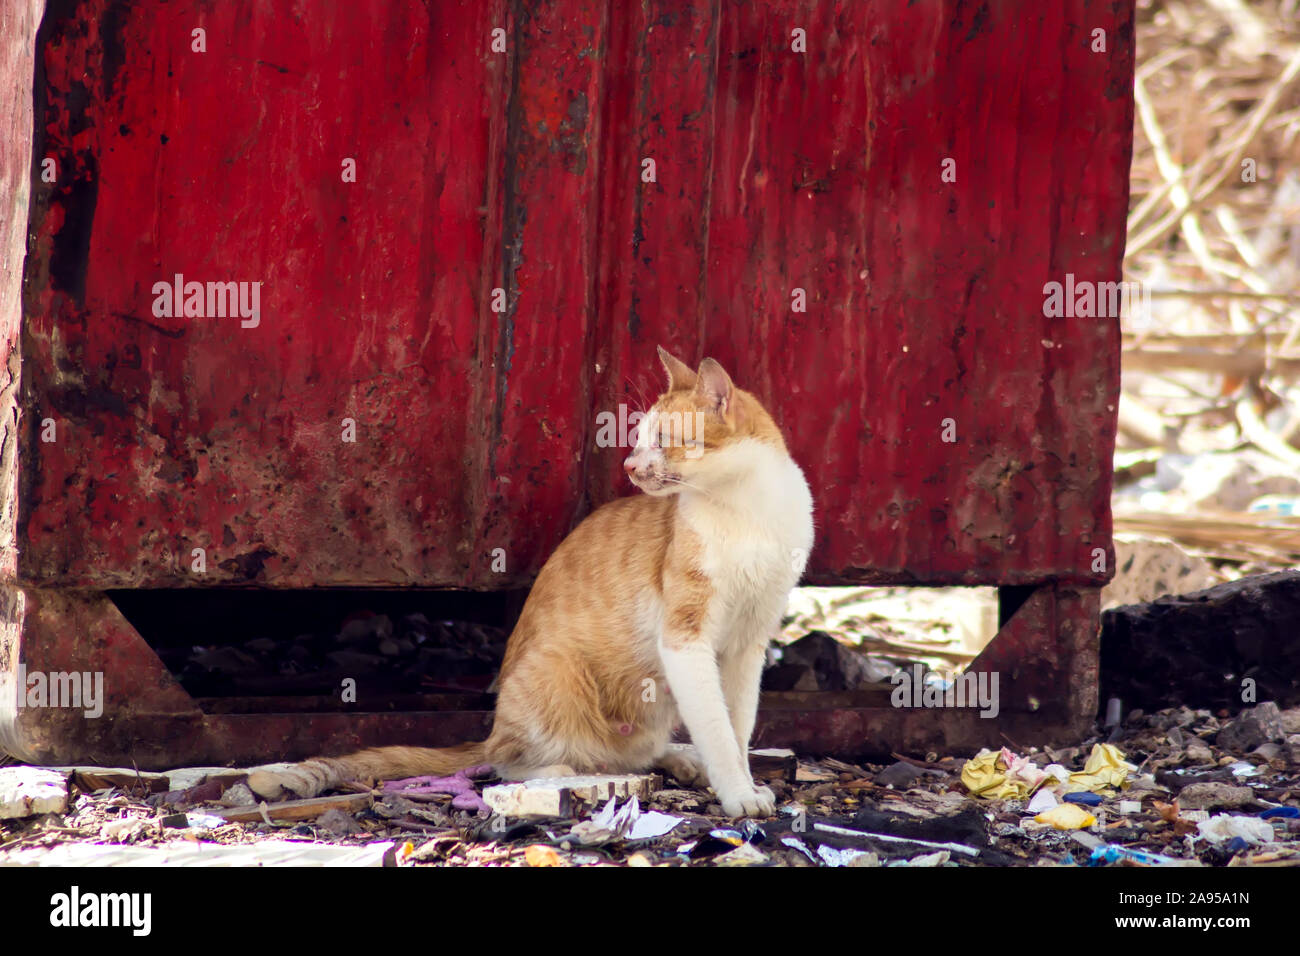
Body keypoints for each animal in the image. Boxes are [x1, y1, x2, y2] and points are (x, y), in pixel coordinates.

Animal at [245, 348, 811, 816]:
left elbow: (736, 726)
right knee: (505, 760)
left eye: (663, 442)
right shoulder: (686, 637)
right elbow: (717, 728)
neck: (747, 512)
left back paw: (676, 757)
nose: (630, 464)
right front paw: (736, 793)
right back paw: (561, 771)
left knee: (634, 753)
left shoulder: (747, 645)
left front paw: (744, 783)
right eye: (637, 440)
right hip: (555, 672)